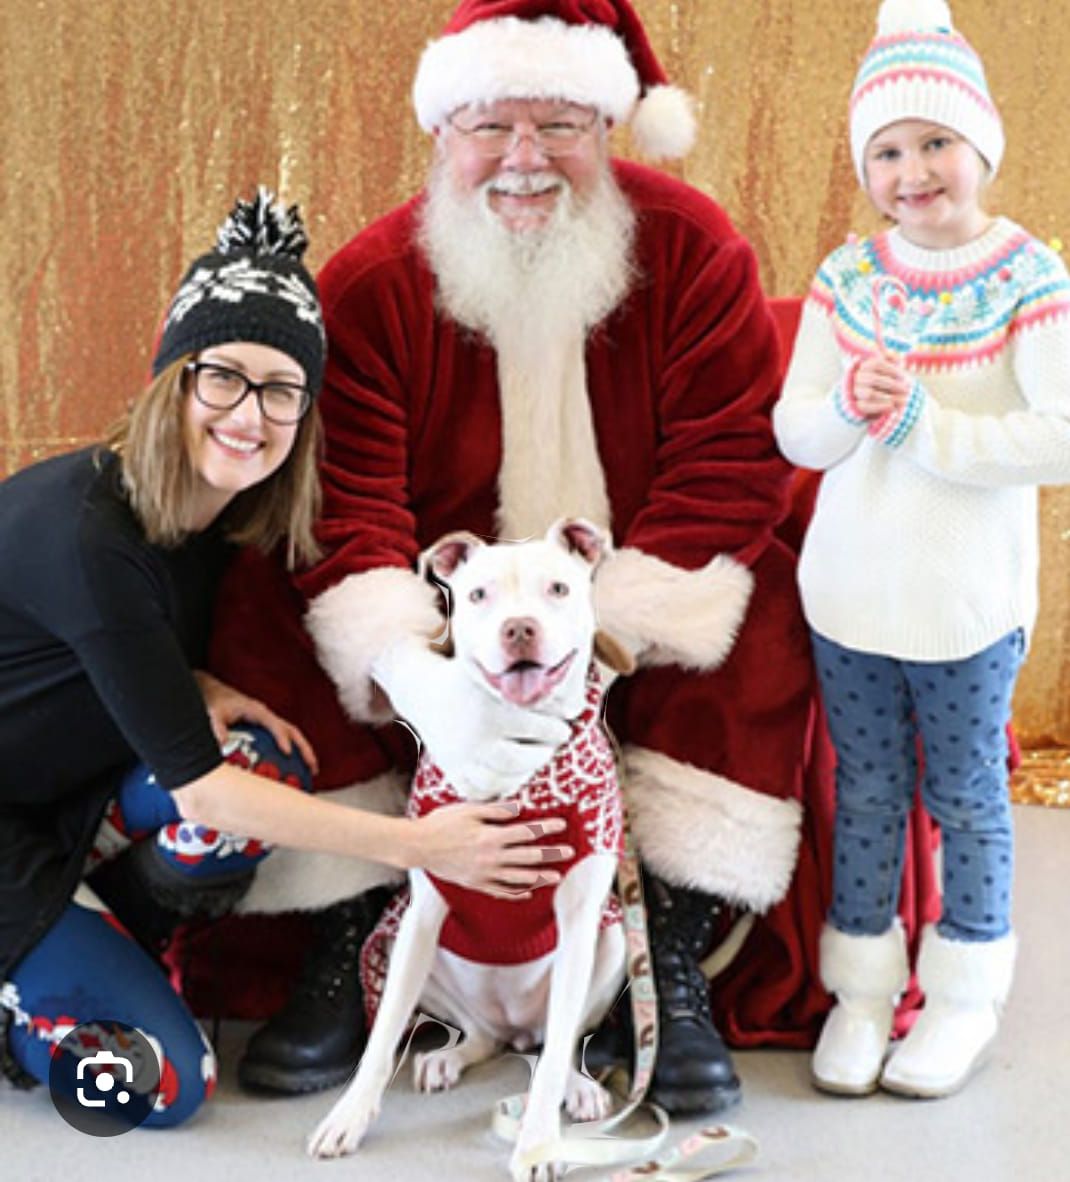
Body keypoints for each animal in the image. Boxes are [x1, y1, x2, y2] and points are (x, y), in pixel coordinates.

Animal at [305, 522, 628, 1182]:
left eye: (558, 588)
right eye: (478, 595)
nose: (518, 628)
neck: (523, 764)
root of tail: (515, 1029)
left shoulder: (582, 919)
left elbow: (558, 1053)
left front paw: (537, 1144)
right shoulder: (423, 915)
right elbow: (381, 1040)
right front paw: (348, 1116)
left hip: (610, 945)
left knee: (559, 1045)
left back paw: (575, 1088)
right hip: (408, 953)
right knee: (479, 1036)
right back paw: (448, 1058)